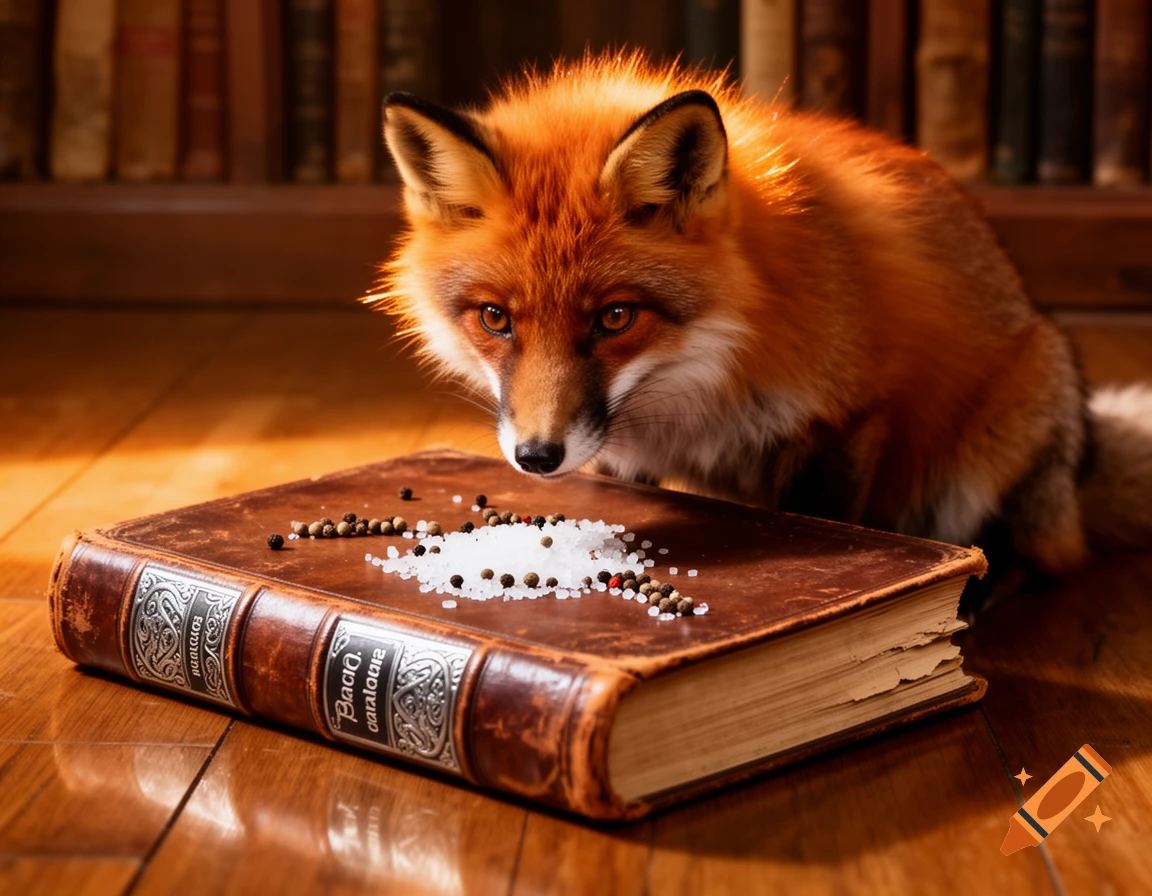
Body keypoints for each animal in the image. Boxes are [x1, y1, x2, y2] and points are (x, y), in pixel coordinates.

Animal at [371, 53, 1152, 576]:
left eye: (615, 318)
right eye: (495, 320)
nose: (537, 458)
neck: (699, 383)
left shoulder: (848, 417)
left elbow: (823, 518)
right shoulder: (619, 456)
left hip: (992, 448)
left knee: (1037, 555)